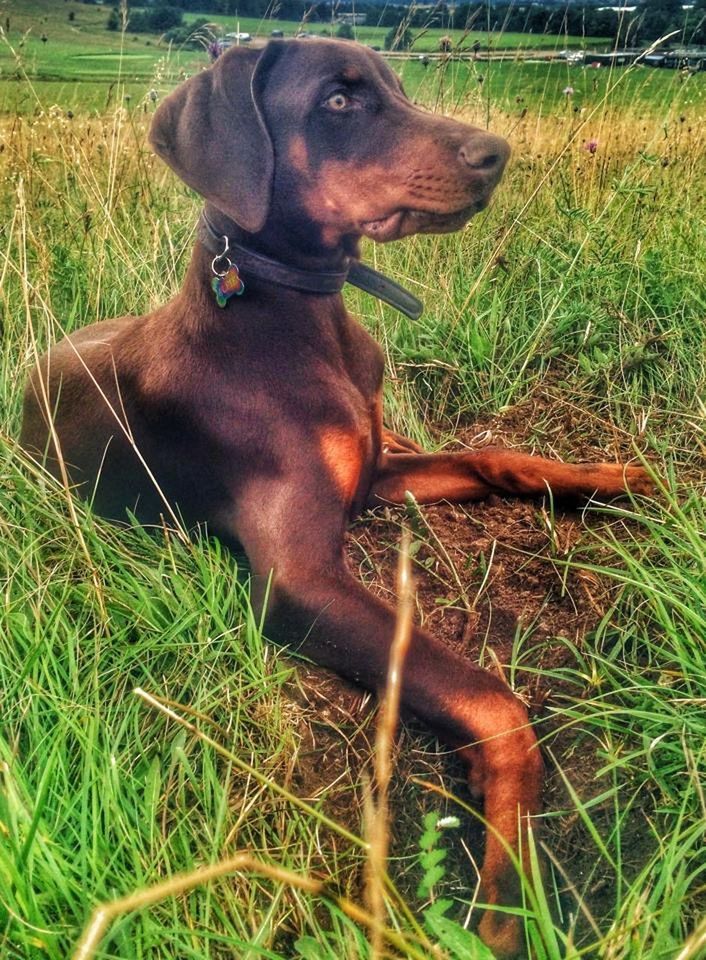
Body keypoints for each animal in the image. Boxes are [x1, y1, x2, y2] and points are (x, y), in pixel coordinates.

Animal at [20, 41, 648, 956]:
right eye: (341, 101)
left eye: (396, 85)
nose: (496, 153)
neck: (298, 317)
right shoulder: (299, 581)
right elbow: (493, 701)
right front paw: (505, 896)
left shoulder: (377, 472)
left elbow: (492, 453)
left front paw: (611, 480)